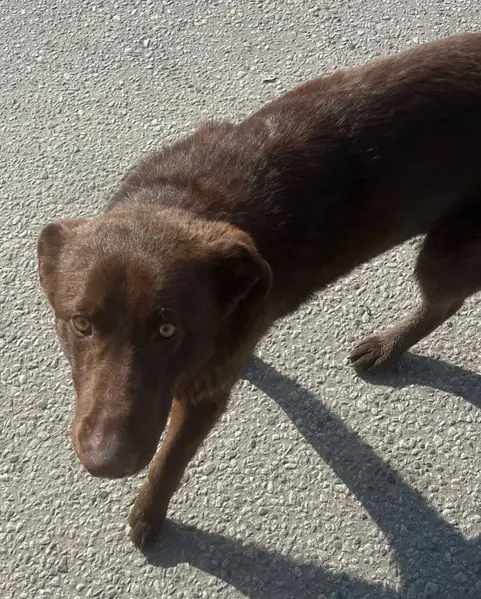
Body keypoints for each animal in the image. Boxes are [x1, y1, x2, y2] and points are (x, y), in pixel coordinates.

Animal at [37, 33, 481, 549]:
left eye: (168, 330)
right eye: (80, 323)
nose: (108, 463)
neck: (187, 199)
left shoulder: (205, 396)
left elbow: (170, 461)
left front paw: (148, 516)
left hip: (448, 251)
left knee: (445, 300)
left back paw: (389, 346)